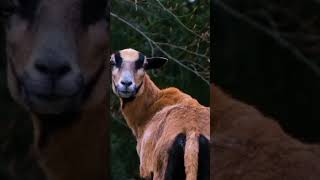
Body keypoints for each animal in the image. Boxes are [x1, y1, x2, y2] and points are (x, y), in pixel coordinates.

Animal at [111, 48, 211, 180]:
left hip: (162, 171)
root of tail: (192, 131)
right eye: (112, 62)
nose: (126, 83)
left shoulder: (146, 171)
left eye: (144, 65)